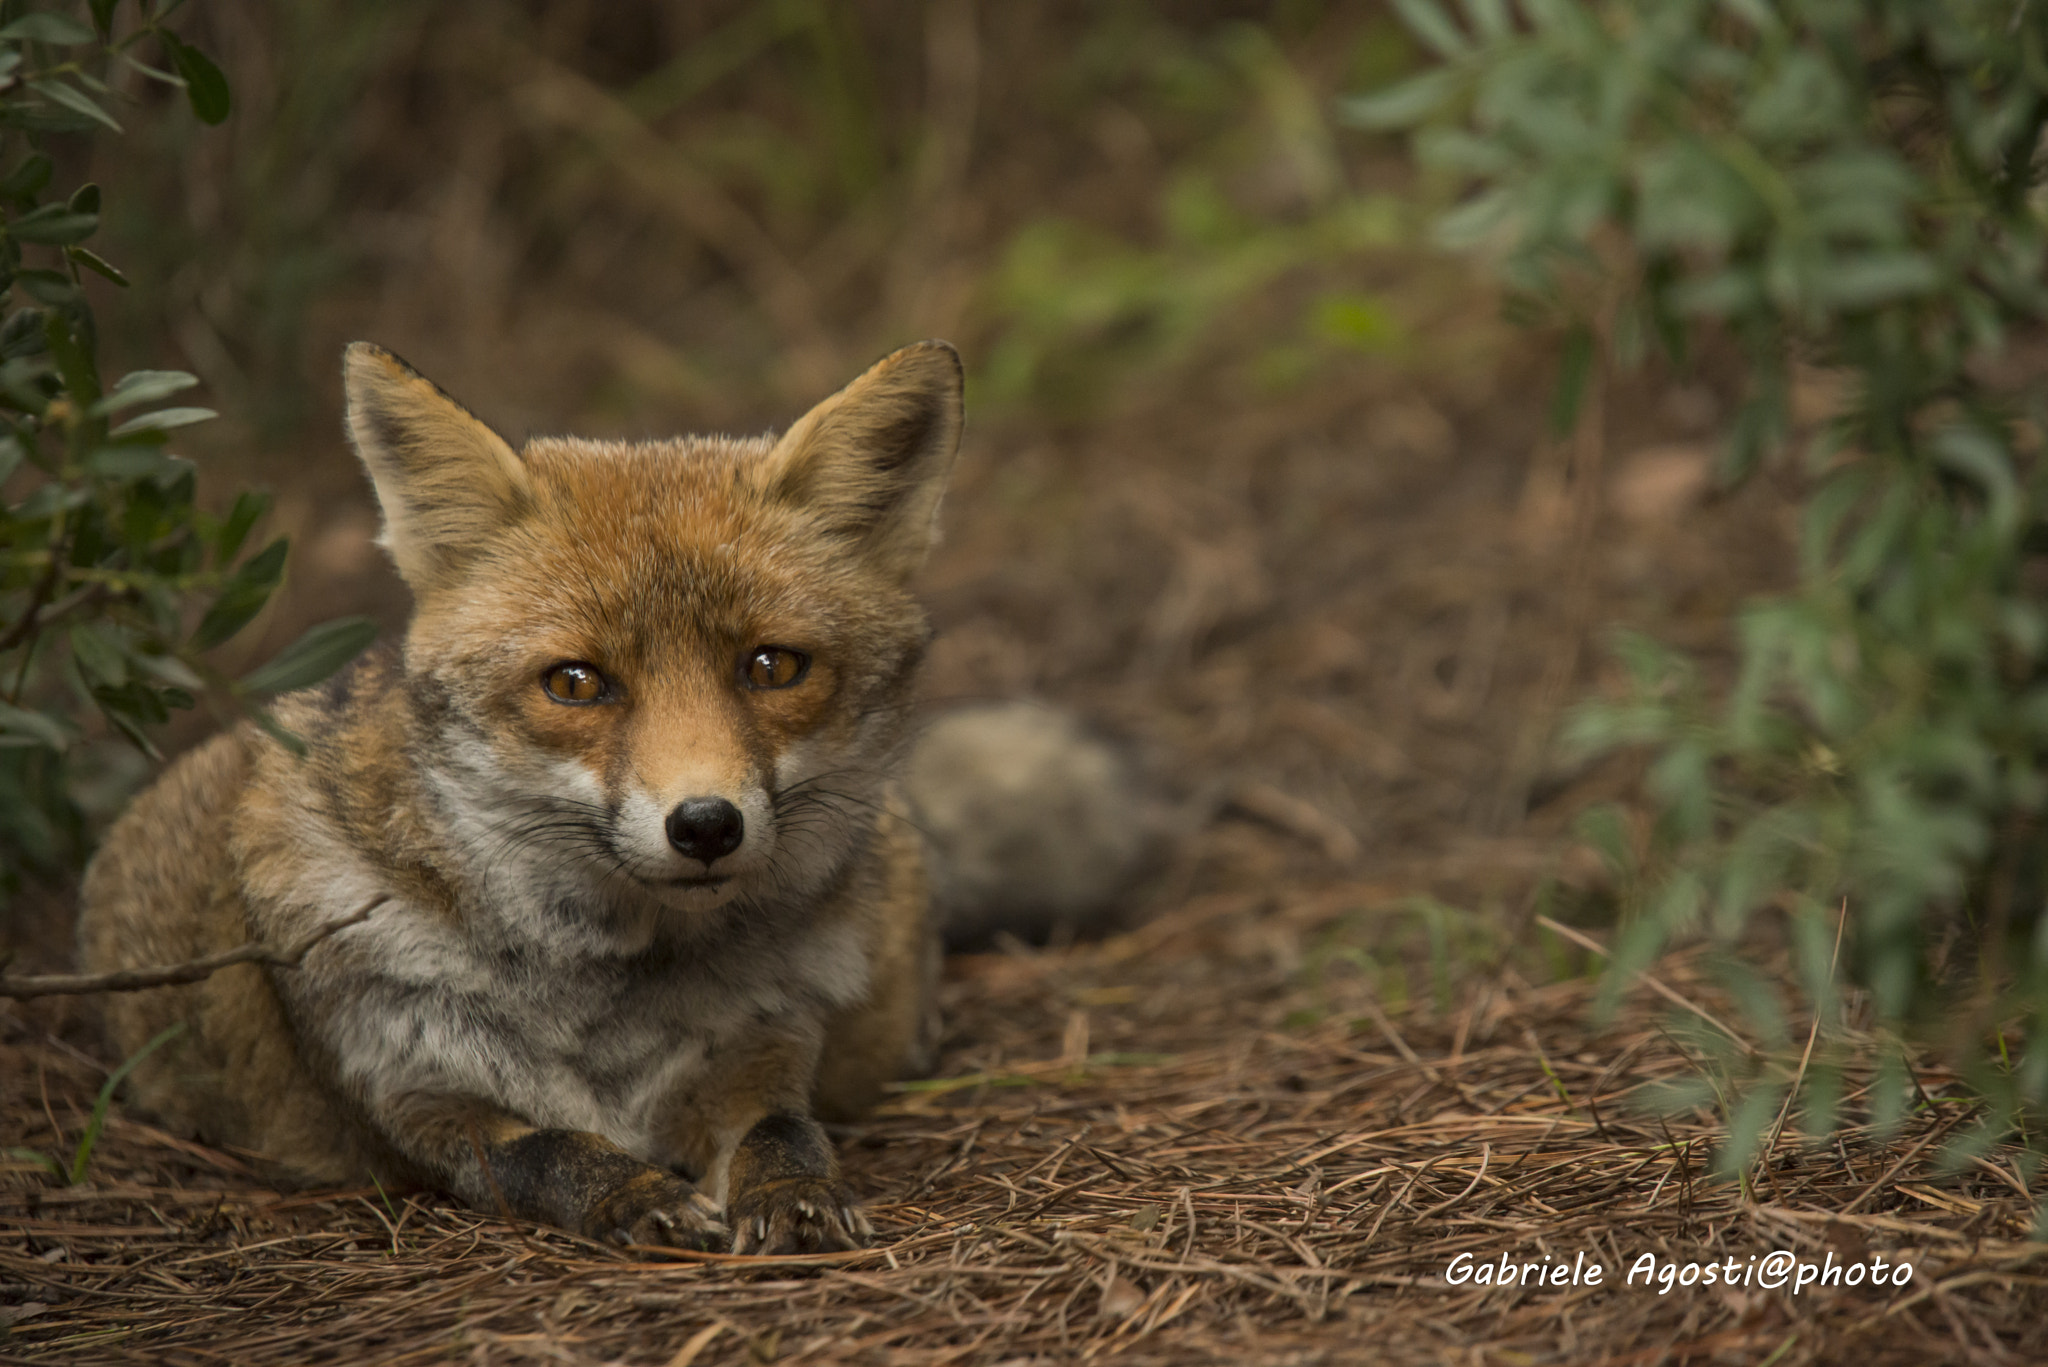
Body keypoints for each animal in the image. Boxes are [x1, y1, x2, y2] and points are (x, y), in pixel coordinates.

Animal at [75, 340, 1155, 1254]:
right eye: (575, 683)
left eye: (772, 665)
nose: (706, 824)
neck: (608, 1004)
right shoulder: (415, 1096)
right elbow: (550, 1152)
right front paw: (635, 1195)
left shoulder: (764, 1048)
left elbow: (784, 1132)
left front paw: (792, 1196)